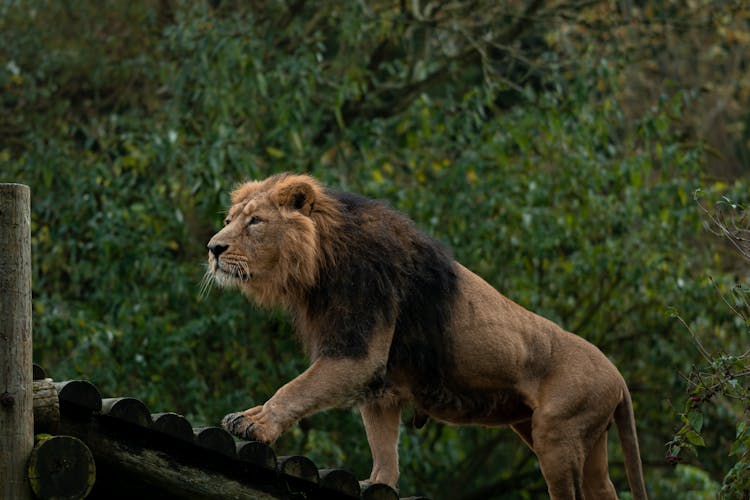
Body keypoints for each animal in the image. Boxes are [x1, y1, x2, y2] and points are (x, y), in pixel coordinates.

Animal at [209, 173, 648, 500]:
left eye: (255, 221)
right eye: (230, 219)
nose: (213, 247)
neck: (319, 264)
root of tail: (619, 377)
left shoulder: (360, 348)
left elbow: (298, 388)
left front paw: (257, 423)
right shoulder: (382, 384)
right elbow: (384, 448)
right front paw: (377, 482)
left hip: (557, 433)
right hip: (580, 438)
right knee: (603, 488)